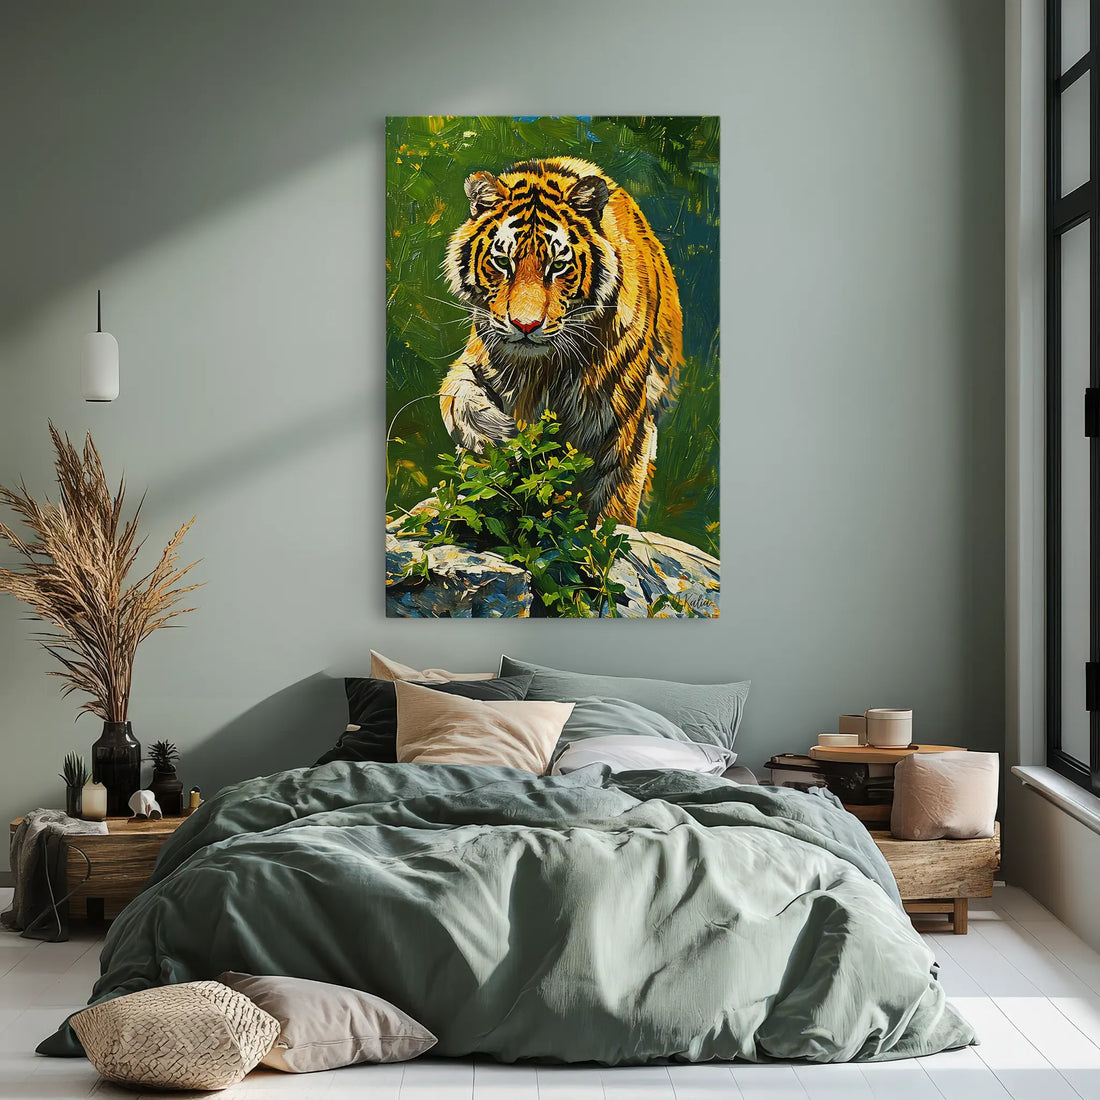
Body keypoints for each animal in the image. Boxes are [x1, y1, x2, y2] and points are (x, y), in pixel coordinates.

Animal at [439, 156, 683, 527]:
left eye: (558, 266)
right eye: (502, 262)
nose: (525, 325)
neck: (541, 367)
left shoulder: (626, 417)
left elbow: (614, 503)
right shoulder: (479, 356)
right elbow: (455, 394)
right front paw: (495, 432)